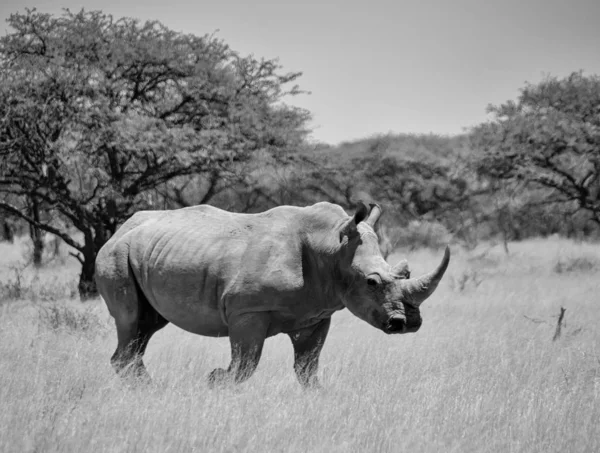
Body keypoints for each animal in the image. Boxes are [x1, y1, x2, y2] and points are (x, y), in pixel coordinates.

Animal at [96, 203, 448, 386]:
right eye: (372, 282)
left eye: (404, 273)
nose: (407, 324)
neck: (331, 248)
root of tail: (119, 229)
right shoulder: (248, 311)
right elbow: (245, 365)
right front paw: (214, 379)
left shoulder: (317, 314)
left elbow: (307, 368)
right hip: (116, 256)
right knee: (130, 320)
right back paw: (149, 390)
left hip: (147, 253)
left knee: (147, 325)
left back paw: (147, 388)